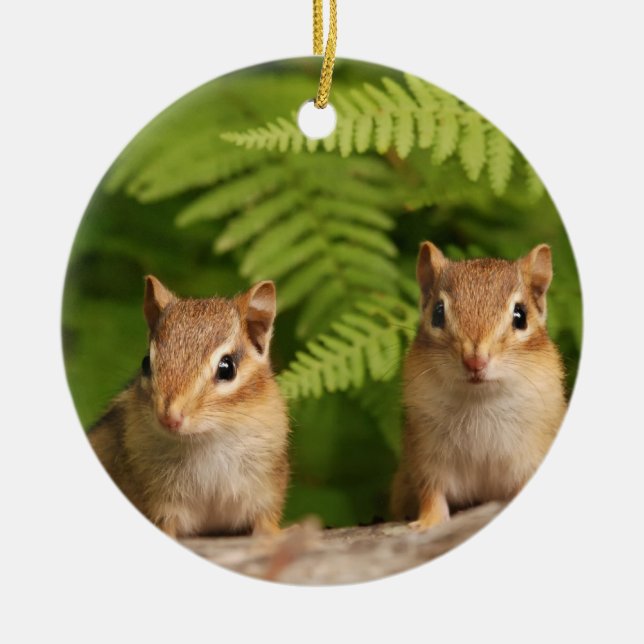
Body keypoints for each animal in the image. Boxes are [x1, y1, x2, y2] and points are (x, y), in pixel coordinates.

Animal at [88, 276, 290, 538]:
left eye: (227, 368)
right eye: (146, 363)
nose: (169, 417)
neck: (206, 439)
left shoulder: (265, 490)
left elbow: (266, 522)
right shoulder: (160, 501)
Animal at [391, 241, 567, 529]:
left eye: (520, 316)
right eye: (437, 313)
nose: (475, 360)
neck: (479, 400)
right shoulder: (425, 455)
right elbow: (431, 493)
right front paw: (428, 522)